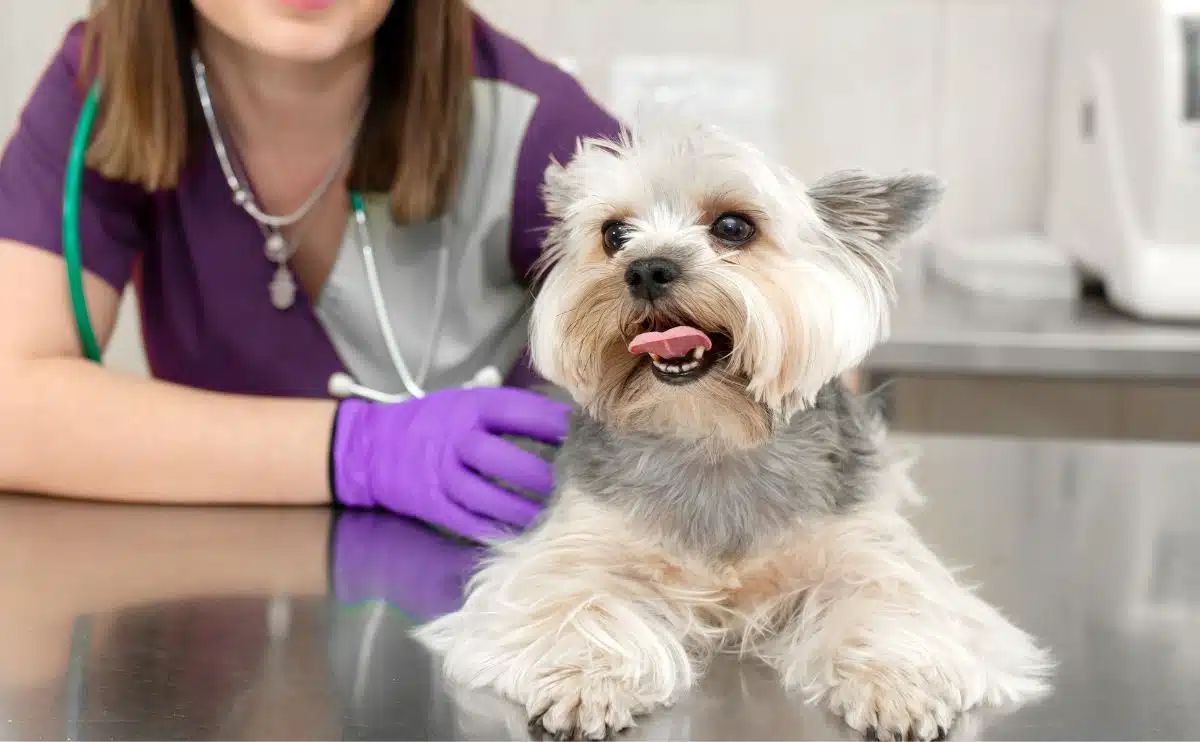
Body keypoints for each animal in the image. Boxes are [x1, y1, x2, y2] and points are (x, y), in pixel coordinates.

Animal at [417, 118, 1056, 734]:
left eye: (732, 226)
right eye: (614, 235)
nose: (645, 268)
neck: (713, 437)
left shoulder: (862, 546)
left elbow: (891, 597)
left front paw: (898, 683)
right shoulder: (576, 544)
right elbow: (573, 597)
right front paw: (586, 678)